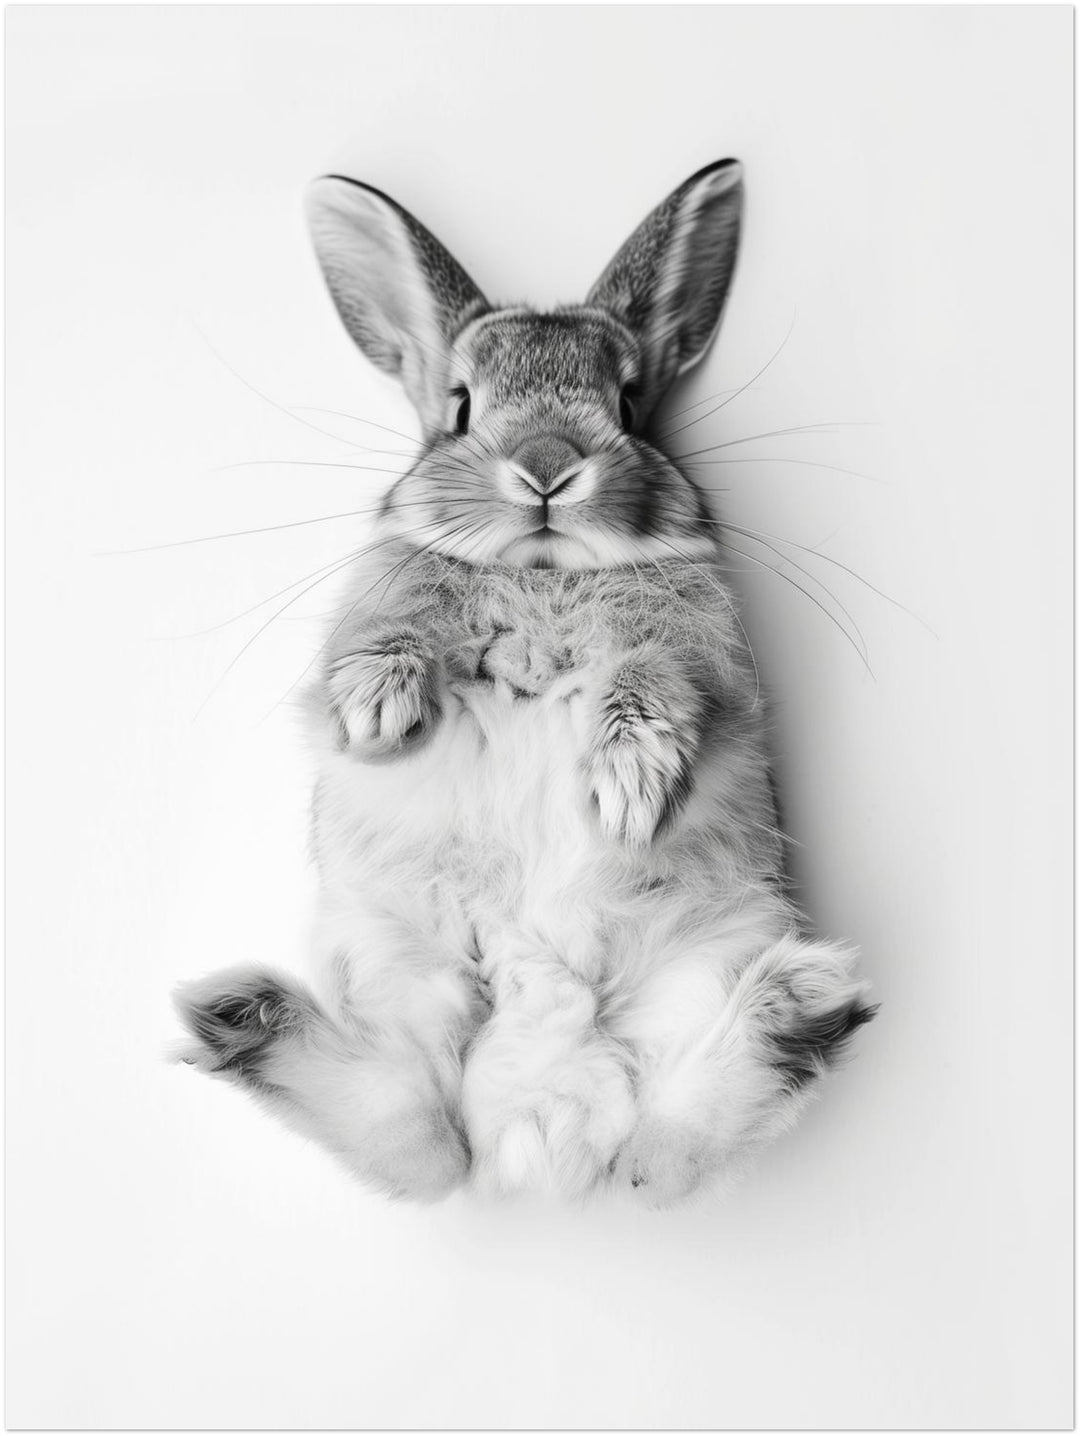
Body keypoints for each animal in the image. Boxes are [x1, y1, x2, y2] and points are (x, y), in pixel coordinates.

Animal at [175, 160, 876, 1206]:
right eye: (461, 405)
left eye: (629, 404)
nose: (547, 467)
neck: (544, 573)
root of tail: (537, 1123)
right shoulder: (375, 605)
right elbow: (382, 640)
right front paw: (376, 712)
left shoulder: (702, 655)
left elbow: (659, 683)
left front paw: (628, 788)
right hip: (396, 964)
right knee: (415, 1137)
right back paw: (238, 1013)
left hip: (703, 957)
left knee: (662, 1145)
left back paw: (799, 1003)